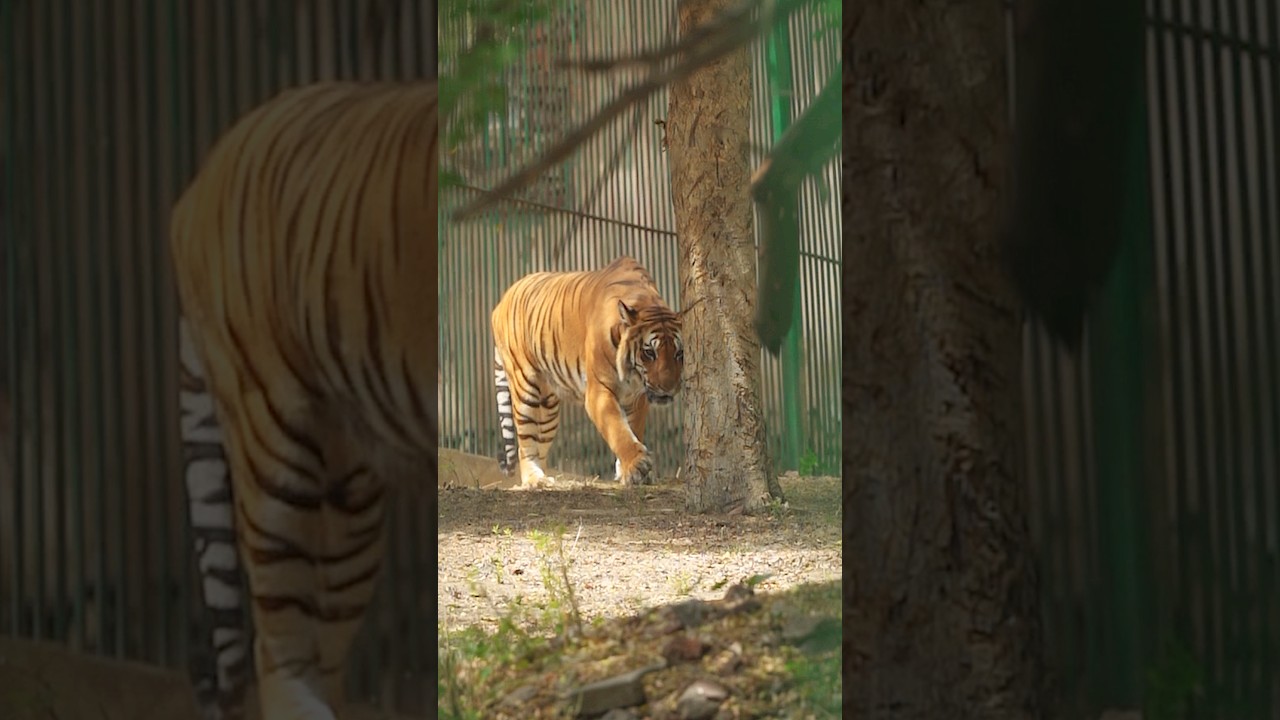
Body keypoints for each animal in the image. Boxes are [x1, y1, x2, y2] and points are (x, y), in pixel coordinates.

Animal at [491, 256, 684, 489]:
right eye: (649, 353)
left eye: (679, 353)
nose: (669, 389)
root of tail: (499, 303)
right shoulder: (599, 392)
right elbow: (617, 428)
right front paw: (636, 466)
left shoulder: (637, 396)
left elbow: (632, 428)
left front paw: (627, 471)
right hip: (526, 387)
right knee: (525, 442)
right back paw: (534, 480)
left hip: (548, 407)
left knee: (540, 443)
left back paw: (545, 476)